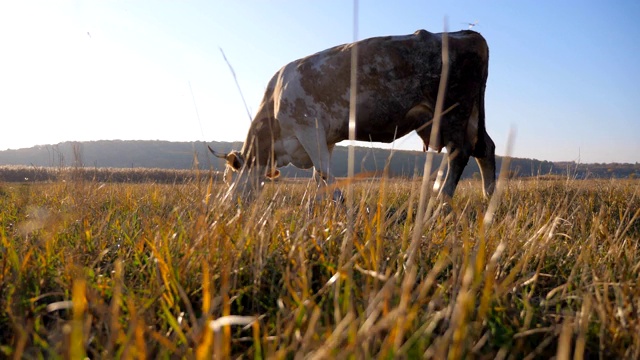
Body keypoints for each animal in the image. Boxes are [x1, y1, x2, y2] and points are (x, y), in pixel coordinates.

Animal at [210, 28, 496, 202]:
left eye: (228, 178)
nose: (225, 204)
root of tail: (469, 34)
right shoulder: (326, 140)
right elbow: (318, 179)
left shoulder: (309, 129)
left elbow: (324, 174)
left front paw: (340, 204)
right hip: (470, 116)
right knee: (485, 149)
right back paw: (488, 197)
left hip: (454, 111)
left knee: (459, 153)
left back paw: (442, 201)